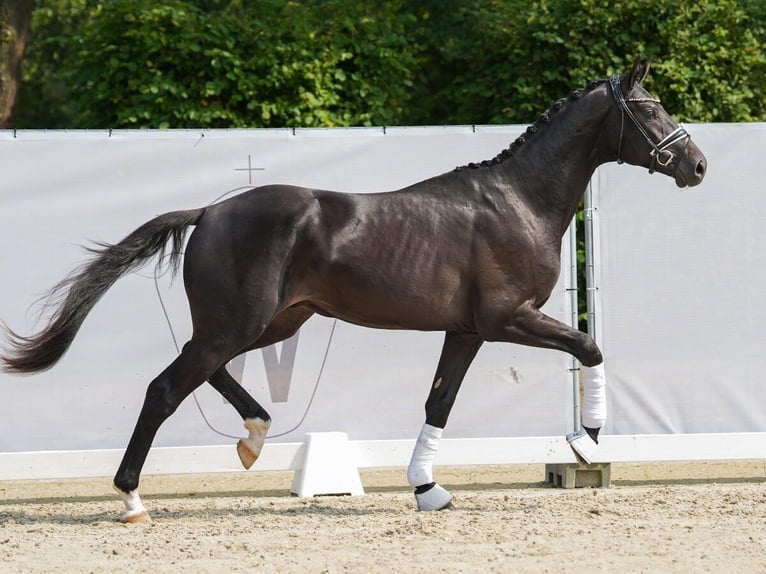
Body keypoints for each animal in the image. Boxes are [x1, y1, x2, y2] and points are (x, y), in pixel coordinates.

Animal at [0, 60, 708, 524]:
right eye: (649, 109)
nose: (696, 165)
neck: (518, 202)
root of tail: (209, 212)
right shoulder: (509, 317)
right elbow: (588, 346)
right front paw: (587, 442)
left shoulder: (466, 329)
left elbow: (439, 402)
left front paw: (428, 490)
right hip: (241, 322)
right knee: (166, 387)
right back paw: (131, 499)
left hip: (272, 323)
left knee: (207, 373)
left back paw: (254, 437)